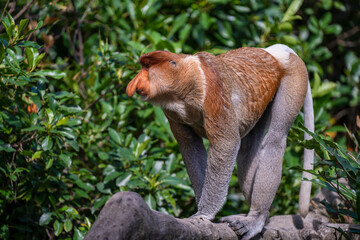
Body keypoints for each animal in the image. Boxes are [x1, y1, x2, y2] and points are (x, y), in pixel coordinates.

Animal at [125, 44, 314, 239]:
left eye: (147, 67)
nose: (133, 84)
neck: (187, 77)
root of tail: (276, 52)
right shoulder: (171, 112)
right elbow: (190, 146)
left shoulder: (214, 91)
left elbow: (226, 143)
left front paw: (204, 214)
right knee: (248, 148)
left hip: (295, 75)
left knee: (275, 139)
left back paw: (256, 218)